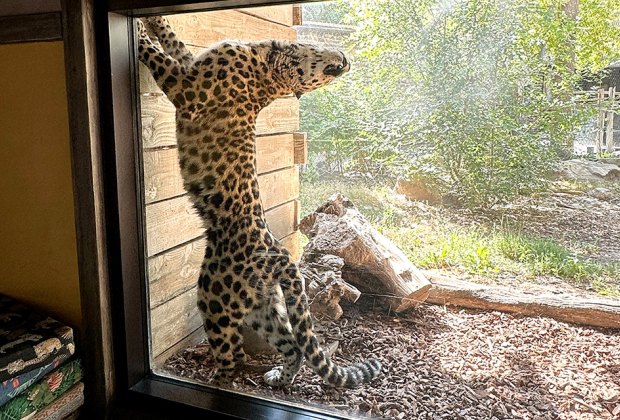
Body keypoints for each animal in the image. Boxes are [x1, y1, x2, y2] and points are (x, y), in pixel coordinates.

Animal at [136, 16, 380, 388]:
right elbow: (175, 43)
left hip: (214, 296)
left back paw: (216, 381)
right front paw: (155, 22)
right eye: (325, 78)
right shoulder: (193, 64)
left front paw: (139, 33)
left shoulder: (188, 88)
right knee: (293, 344)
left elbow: (159, 57)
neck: (272, 60)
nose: (345, 65)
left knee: (231, 355)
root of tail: (279, 253)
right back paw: (279, 378)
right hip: (263, 307)